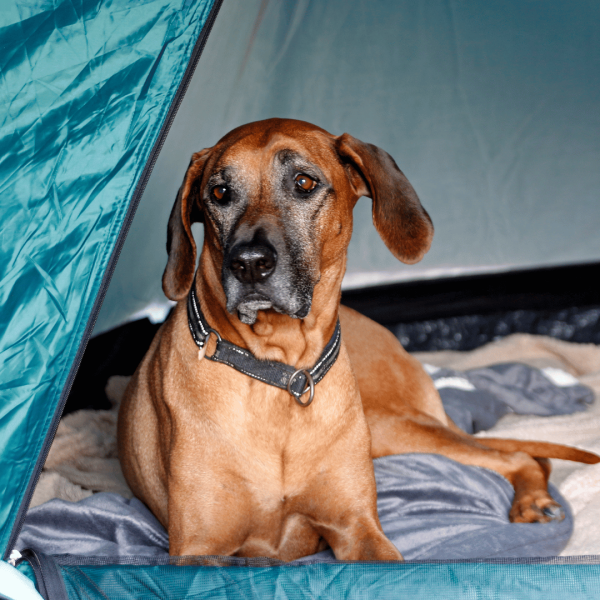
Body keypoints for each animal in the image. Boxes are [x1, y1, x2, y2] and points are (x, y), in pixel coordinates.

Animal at [118, 118, 600, 564]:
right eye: (219, 193)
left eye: (304, 182)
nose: (249, 263)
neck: (281, 371)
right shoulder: (196, 550)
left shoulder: (356, 526)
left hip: (391, 428)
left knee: (518, 456)